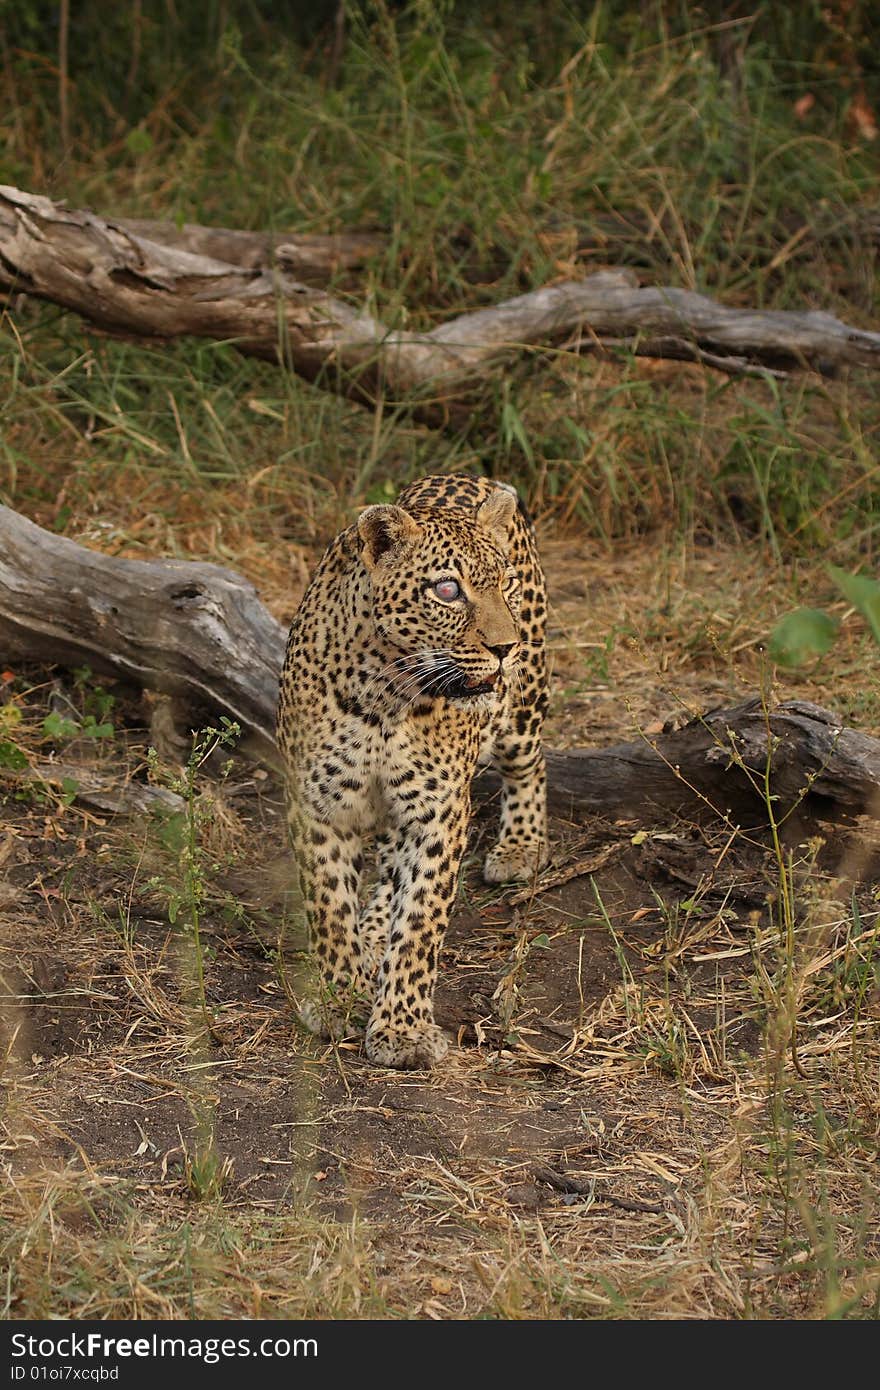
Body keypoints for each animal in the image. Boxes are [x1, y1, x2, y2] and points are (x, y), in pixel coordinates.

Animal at [278, 472, 544, 1067]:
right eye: (447, 591)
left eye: (504, 584)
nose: (505, 647)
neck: (386, 692)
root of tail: (466, 473)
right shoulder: (319, 804)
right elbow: (328, 907)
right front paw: (341, 996)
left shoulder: (439, 810)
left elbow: (422, 921)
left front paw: (403, 1029)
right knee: (386, 863)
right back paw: (374, 926)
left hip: (523, 707)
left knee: (530, 764)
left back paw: (521, 846)